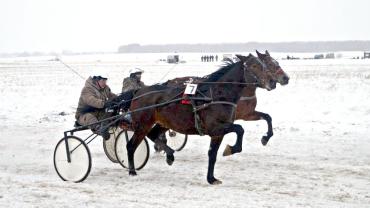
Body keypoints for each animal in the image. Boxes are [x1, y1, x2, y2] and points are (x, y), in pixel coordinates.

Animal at [126, 53, 274, 184]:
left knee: (153, 134)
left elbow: (212, 154)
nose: (272, 82)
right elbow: (240, 129)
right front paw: (231, 149)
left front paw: (211, 178)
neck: (216, 96)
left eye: (263, 65)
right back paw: (132, 171)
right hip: (142, 124)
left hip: (163, 123)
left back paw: (170, 155)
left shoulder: (218, 133)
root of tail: (138, 92)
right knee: (131, 146)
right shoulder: (215, 128)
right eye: (254, 66)